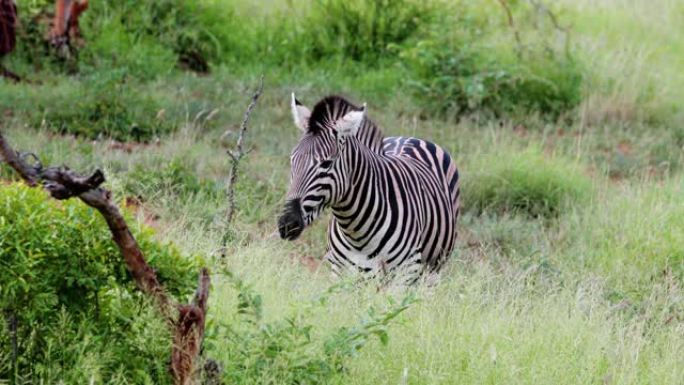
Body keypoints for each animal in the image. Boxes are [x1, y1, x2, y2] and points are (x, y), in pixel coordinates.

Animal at [278, 94, 460, 284]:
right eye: (292, 160)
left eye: (326, 163)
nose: (287, 224)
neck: (356, 233)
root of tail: (409, 137)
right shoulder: (339, 272)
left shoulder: (405, 273)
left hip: (431, 271)